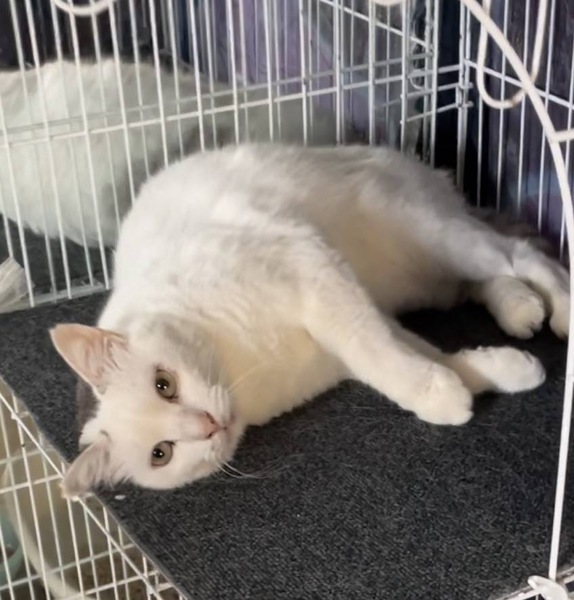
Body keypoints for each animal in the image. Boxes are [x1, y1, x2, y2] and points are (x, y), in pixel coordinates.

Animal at [50, 143, 569, 499]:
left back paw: (560, 308)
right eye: (162, 454)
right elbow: (425, 358)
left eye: (164, 383)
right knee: (488, 277)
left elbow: (379, 356)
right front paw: (494, 376)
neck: (241, 370)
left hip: (433, 236)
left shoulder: (315, 272)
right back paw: (521, 310)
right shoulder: (350, 332)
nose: (208, 426)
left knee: (521, 254)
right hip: (429, 278)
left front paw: (447, 396)